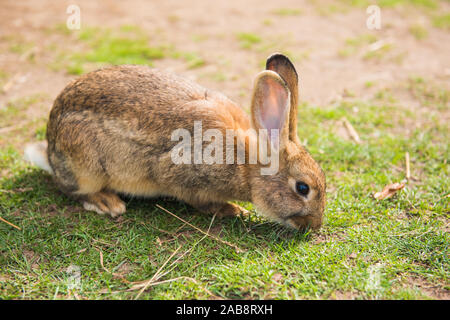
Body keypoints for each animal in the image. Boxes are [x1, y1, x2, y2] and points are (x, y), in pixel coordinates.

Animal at [24, 54, 326, 230]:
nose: (314, 225)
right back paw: (107, 202)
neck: (245, 164)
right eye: (303, 188)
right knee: (71, 189)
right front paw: (232, 210)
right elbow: (200, 202)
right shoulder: (183, 175)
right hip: (85, 165)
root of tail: (50, 151)